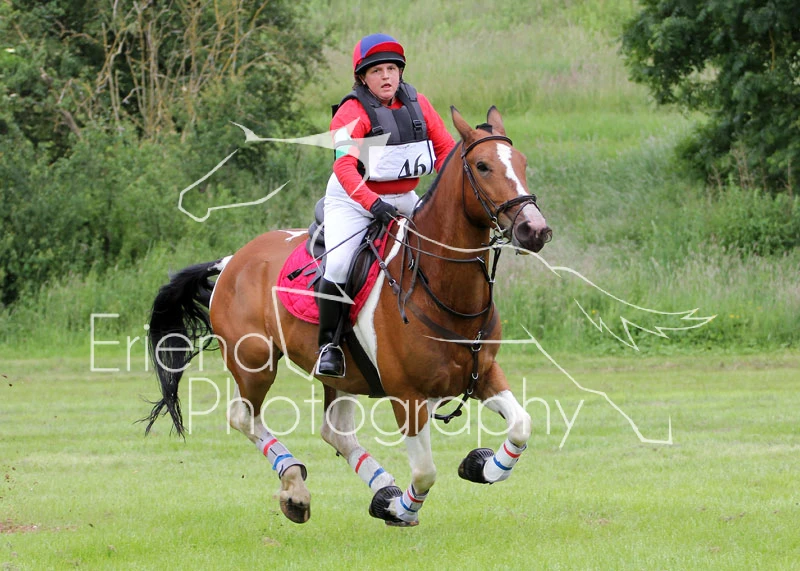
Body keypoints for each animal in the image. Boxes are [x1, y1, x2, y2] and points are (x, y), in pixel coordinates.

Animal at [143, 106, 552, 526]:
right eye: (483, 166)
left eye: (521, 163)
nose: (534, 230)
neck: (439, 285)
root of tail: (231, 261)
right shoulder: (407, 397)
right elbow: (425, 472)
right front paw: (400, 509)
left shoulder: (484, 373)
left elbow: (521, 426)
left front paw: (480, 466)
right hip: (255, 363)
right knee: (244, 417)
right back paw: (296, 489)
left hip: (341, 375)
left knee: (334, 430)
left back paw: (380, 485)